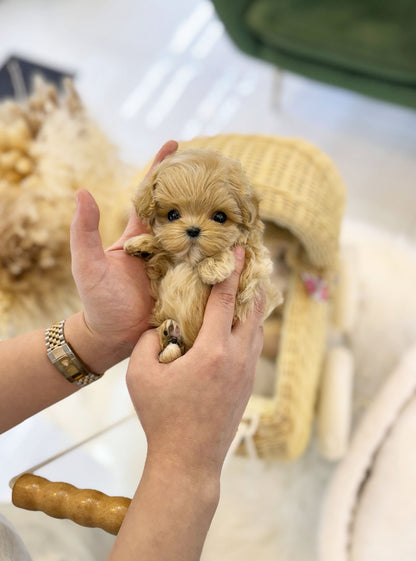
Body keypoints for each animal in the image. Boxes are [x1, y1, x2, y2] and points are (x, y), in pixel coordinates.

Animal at [122, 147, 282, 360]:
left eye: (220, 217)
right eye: (173, 215)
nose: (193, 230)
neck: (190, 260)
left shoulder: (253, 276)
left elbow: (245, 252)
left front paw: (214, 265)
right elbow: (165, 247)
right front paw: (142, 243)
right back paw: (168, 336)